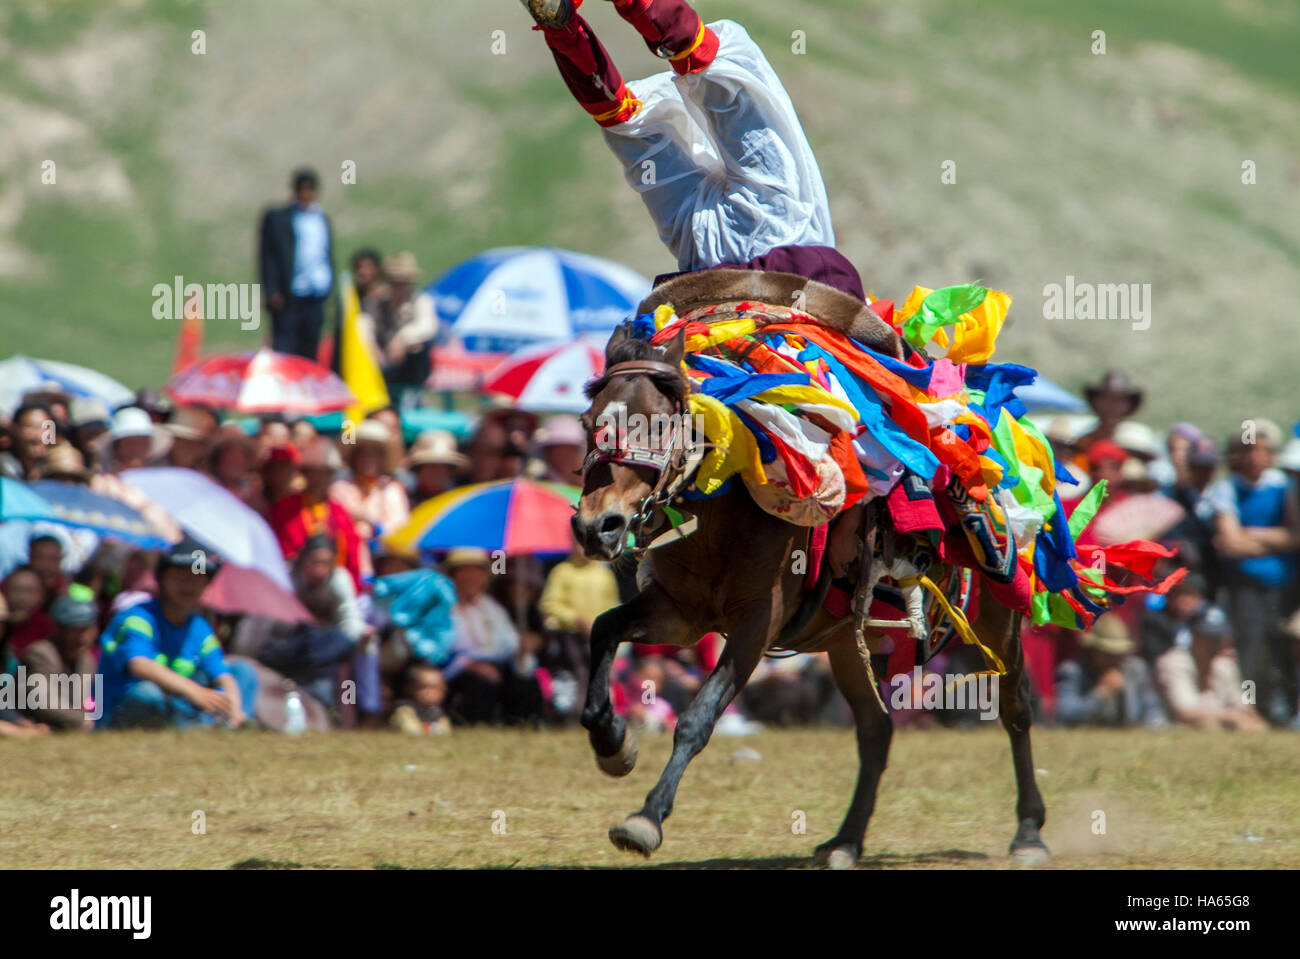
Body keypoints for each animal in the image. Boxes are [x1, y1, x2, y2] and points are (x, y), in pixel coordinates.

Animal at [569, 268, 1045, 868]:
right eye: (587, 422)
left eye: (656, 423)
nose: (597, 526)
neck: (725, 508)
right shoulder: (679, 614)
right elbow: (604, 629)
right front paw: (613, 744)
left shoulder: (756, 624)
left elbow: (697, 718)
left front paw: (646, 818)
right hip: (845, 642)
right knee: (876, 730)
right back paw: (846, 841)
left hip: (996, 619)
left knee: (1016, 709)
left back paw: (1029, 832)